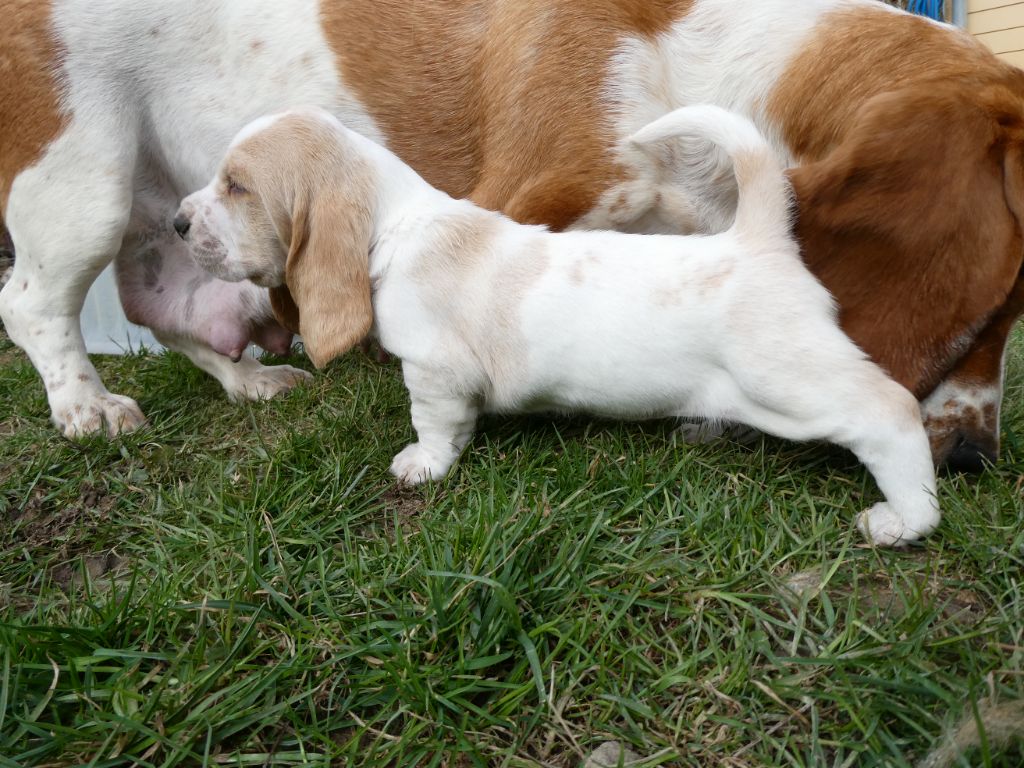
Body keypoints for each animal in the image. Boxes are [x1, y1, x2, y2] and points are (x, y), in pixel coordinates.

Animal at [2, 0, 1024, 473]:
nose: (974, 462)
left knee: (164, 310)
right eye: (983, 313)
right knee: (32, 301)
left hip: (168, 226)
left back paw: (249, 382)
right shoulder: (520, 196)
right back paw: (87, 406)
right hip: (80, 181)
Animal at [176, 108, 942, 548]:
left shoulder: (434, 372)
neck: (393, 226)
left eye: (237, 186)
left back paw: (906, 520)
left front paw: (423, 466)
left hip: (789, 379)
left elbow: (435, 426)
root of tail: (758, 241)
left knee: (890, 411)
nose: (177, 223)